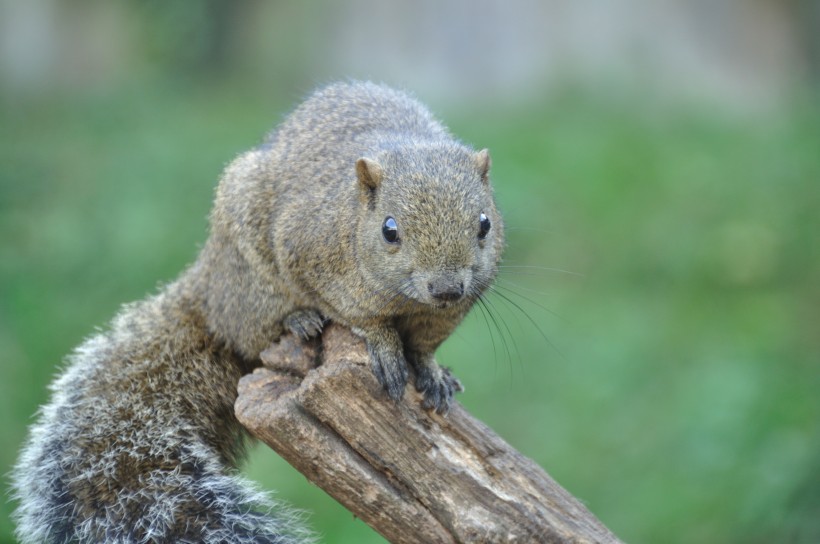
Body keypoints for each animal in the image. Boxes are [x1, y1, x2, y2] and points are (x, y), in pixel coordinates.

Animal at [12, 82, 502, 544]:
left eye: (485, 224)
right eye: (390, 230)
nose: (446, 288)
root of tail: (209, 288)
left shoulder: (451, 310)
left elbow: (425, 344)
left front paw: (430, 370)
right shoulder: (304, 249)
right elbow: (357, 315)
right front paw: (382, 344)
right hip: (251, 280)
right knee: (256, 328)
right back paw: (297, 321)